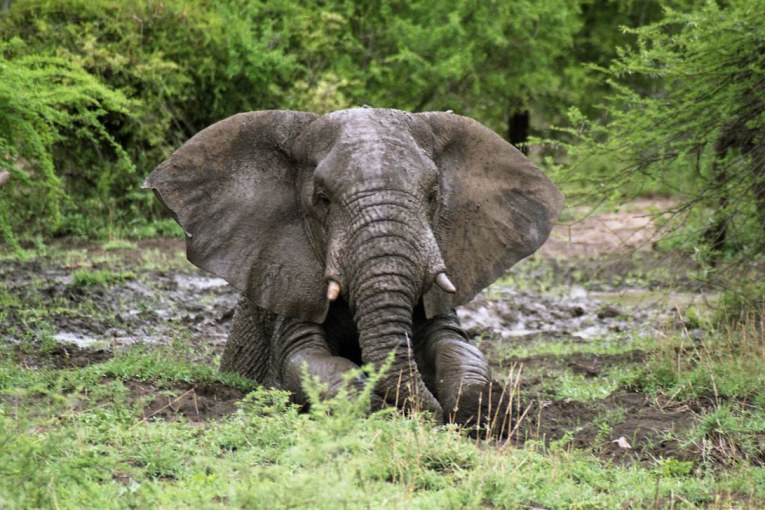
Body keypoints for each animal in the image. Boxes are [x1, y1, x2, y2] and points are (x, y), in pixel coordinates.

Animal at [142, 108, 560, 430]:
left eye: (432, 196)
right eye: (322, 200)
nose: (429, 416)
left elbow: (458, 348)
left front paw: (466, 412)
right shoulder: (289, 276)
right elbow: (303, 361)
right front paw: (377, 407)